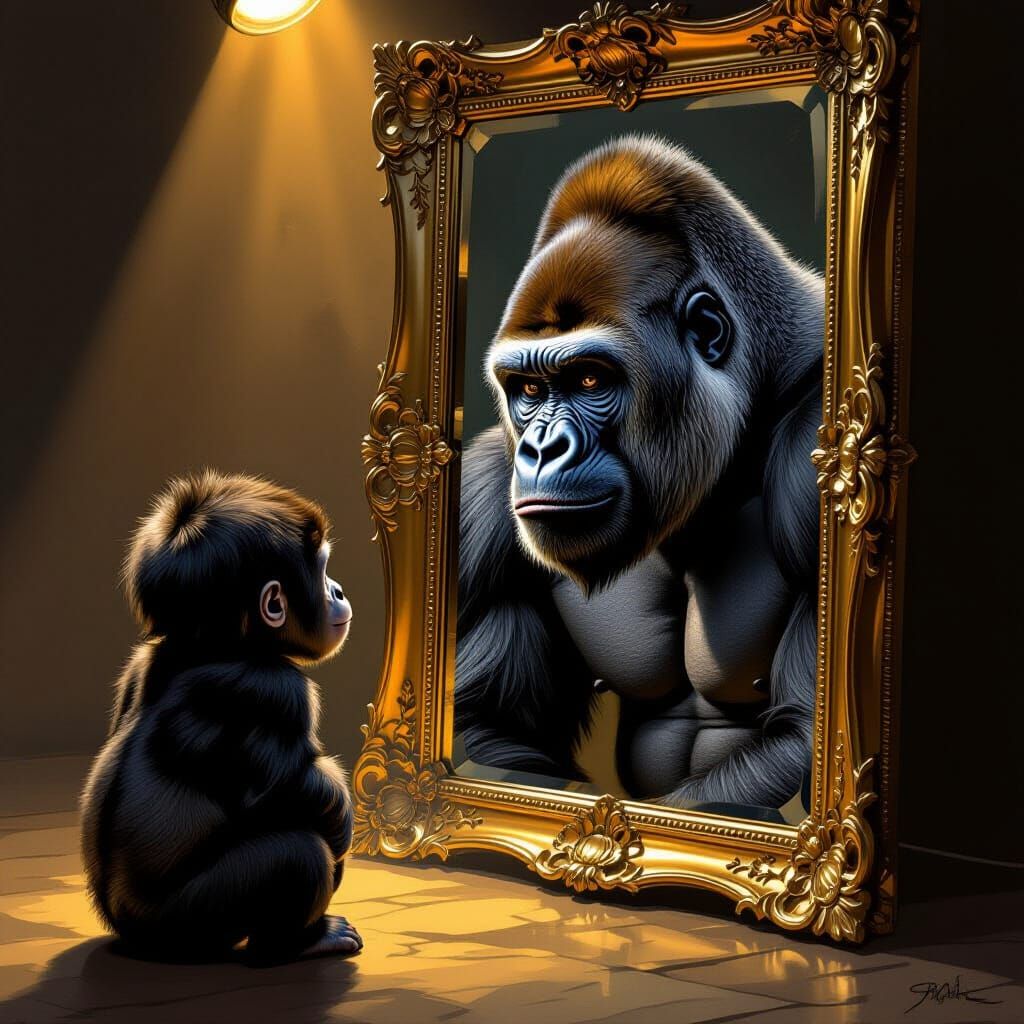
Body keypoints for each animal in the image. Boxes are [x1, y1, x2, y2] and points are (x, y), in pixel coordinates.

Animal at [80, 470, 363, 963]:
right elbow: (286, 788)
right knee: (299, 853)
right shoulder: (274, 689)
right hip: (192, 918)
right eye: (322, 570)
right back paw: (297, 942)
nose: (338, 591)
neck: (215, 644)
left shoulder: (137, 664)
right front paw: (341, 813)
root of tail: (126, 931)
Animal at [455, 135, 823, 811]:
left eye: (590, 379)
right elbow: (481, 730)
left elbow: (804, 732)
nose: (542, 449)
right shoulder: (483, 498)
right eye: (528, 389)